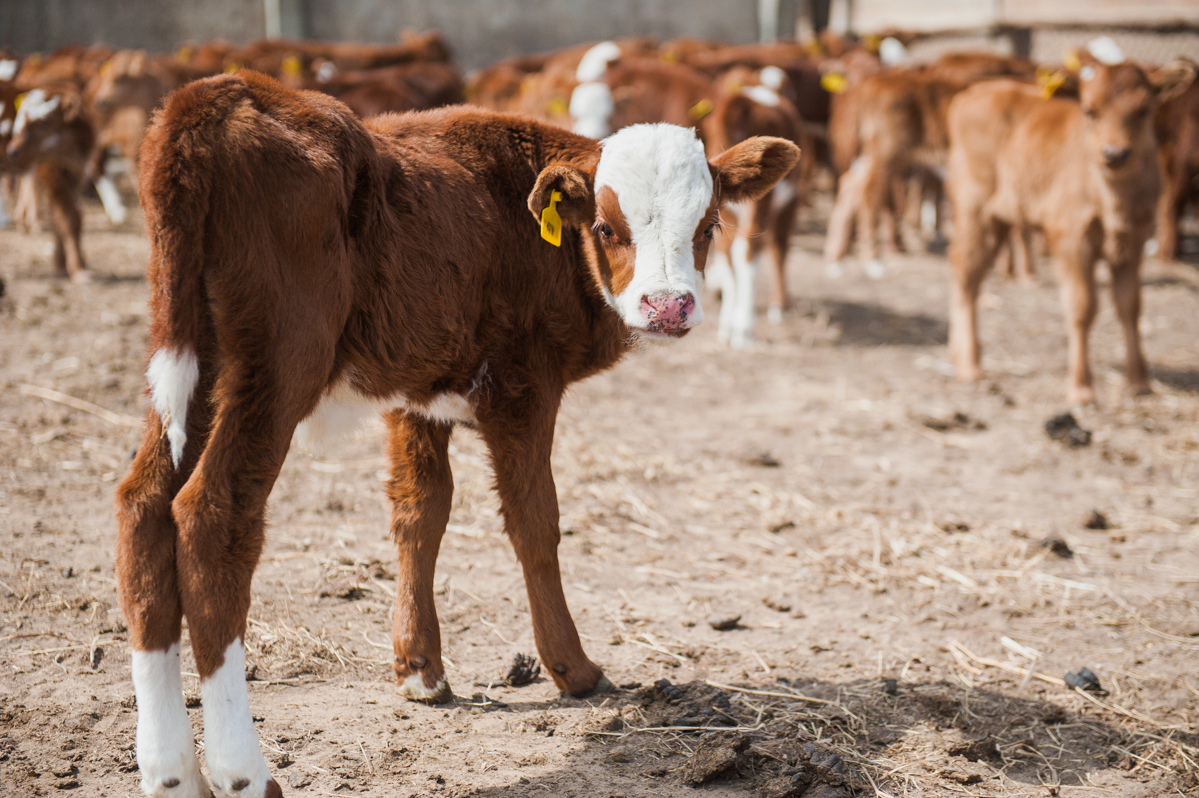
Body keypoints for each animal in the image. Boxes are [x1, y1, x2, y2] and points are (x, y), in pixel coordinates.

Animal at [114, 73, 796, 795]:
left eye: (708, 225)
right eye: (607, 228)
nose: (667, 306)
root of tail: (225, 95)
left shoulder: (414, 392)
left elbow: (421, 511)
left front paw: (419, 668)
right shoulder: (523, 388)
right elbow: (535, 522)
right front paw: (572, 668)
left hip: (188, 363)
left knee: (143, 508)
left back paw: (170, 771)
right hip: (276, 365)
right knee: (212, 519)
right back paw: (242, 770)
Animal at [944, 60, 1199, 404]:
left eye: (1144, 109)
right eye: (1090, 110)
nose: (1114, 153)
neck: (1112, 196)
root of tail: (968, 96)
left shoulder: (1133, 243)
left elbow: (1130, 306)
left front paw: (1139, 382)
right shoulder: (1073, 241)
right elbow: (1082, 307)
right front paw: (1081, 387)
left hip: (999, 221)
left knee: (966, 273)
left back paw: (957, 353)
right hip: (975, 215)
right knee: (966, 276)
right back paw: (970, 365)